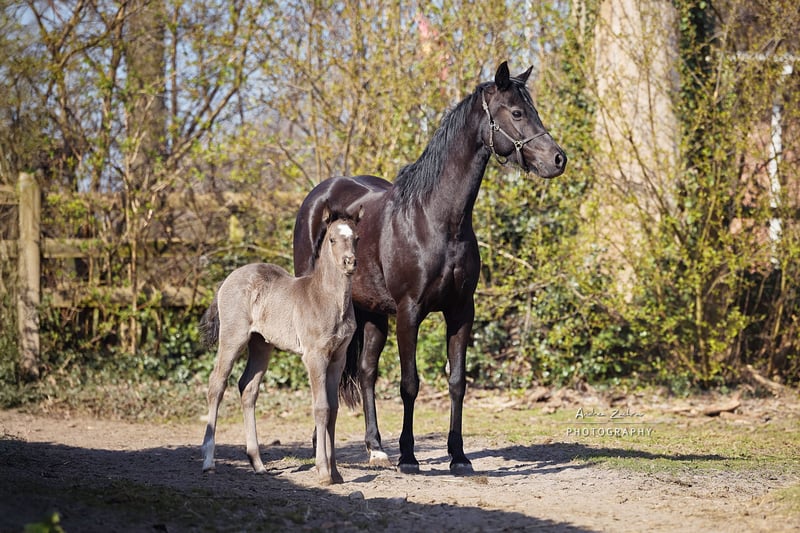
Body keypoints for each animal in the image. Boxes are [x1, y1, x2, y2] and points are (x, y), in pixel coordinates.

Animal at [200, 212, 359, 485]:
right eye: (332, 239)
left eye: (356, 238)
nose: (350, 262)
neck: (327, 298)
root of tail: (226, 281)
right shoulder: (315, 356)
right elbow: (322, 408)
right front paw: (323, 472)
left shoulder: (338, 357)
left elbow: (335, 409)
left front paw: (336, 473)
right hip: (233, 338)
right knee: (216, 385)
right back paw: (209, 462)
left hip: (261, 345)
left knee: (248, 388)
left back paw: (258, 464)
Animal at [292, 61, 567, 475]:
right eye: (517, 113)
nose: (558, 159)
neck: (437, 219)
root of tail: (320, 195)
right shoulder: (410, 312)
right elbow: (410, 383)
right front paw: (409, 457)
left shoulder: (461, 311)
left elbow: (457, 382)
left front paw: (459, 456)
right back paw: (321, 446)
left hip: (373, 314)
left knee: (366, 372)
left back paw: (375, 448)